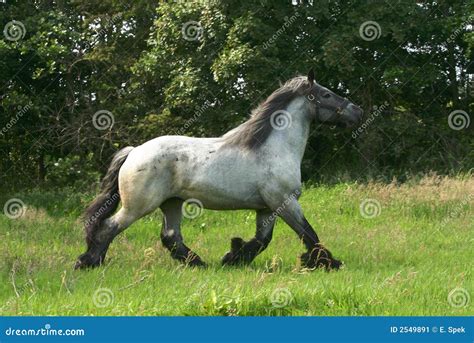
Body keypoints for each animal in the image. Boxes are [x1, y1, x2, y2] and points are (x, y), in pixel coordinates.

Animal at [74, 70, 362, 272]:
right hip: (137, 206)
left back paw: (198, 263)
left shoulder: (267, 208)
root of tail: (133, 152)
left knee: (171, 237)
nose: (357, 111)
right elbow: (308, 234)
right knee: (109, 227)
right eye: (326, 94)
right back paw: (88, 262)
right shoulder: (285, 202)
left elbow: (262, 240)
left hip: (171, 203)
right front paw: (329, 263)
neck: (272, 148)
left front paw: (233, 257)